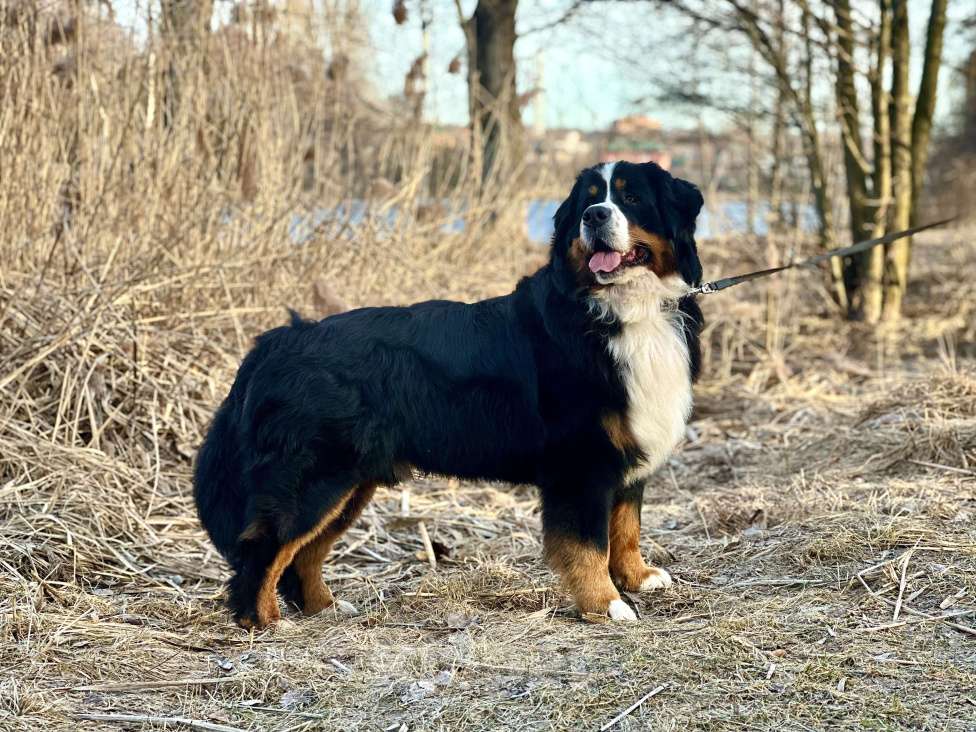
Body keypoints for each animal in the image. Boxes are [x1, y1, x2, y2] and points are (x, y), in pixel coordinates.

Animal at [194, 162, 704, 628]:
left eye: (631, 198)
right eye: (589, 201)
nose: (595, 217)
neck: (624, 311)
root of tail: (279, 339)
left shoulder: (627, 450)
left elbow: (626, 526)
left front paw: (638, 577)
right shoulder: (580, 464)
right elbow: (589, 544)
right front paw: (606, 604)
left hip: (348, 483)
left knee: (305, 552)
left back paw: (325, 607)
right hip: (314, 478)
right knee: (264, 547)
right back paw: (261, 621)